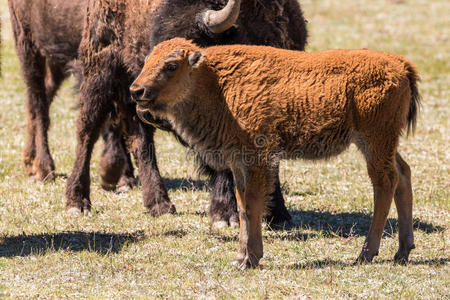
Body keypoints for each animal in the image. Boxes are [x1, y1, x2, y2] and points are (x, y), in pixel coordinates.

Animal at [7, 0, 135, 189]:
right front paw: (112, 174)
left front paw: (124, 176)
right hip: (27, 42)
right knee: (38, 104)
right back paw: (44, 169)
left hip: (53, 59)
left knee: (40, 98)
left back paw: (30, 162)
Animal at [66, 0, 306, 226]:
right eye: (151, 51)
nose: (148, 106)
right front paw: (224, 216)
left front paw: (278, 214)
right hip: (100, 73)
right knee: (87, 132)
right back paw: (77, 203)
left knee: (140, 143)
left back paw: (160, 205)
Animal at [130, 38, 418, 270]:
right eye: (147, 61)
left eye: (171, 66)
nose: (136, 91)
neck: (214, 80)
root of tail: (401, 64)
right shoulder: (239, 162)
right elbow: (242, 204)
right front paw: (240, 257)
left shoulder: (258, 158)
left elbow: (252, 204)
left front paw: (250, 259)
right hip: (380, 143)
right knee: (403, 174)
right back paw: (402, 251)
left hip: (374, 140)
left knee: (385, 183)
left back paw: (366, 254)